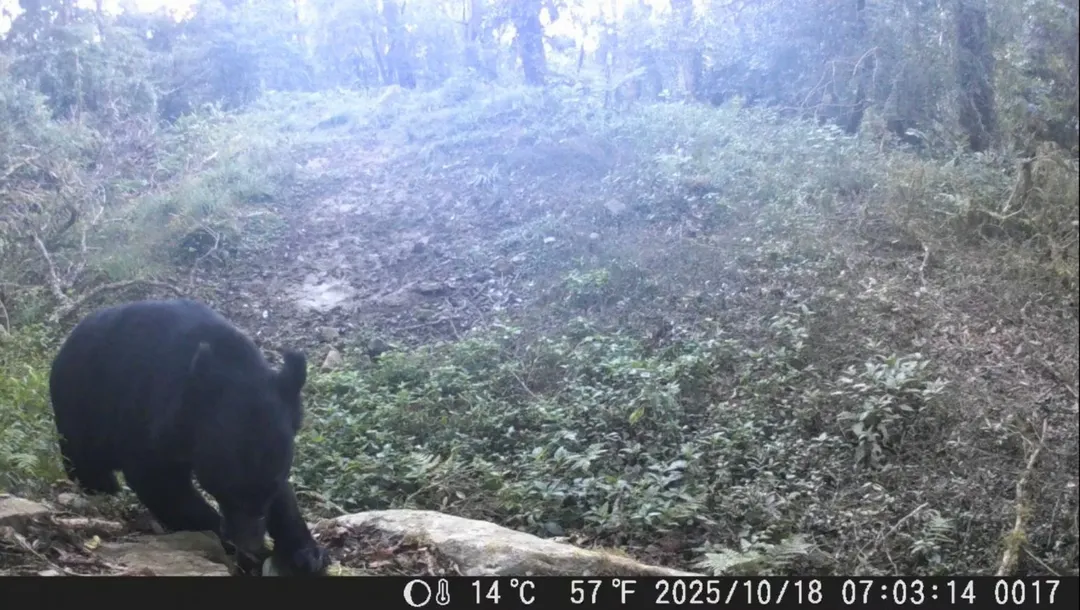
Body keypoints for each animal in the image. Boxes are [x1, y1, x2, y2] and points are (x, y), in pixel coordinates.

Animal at [48, 298, 329, 576]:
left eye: (271, 486)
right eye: (228, 489)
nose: (249, 544)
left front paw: (307, 553)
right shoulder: (150, 413)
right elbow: (158, 481)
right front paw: (236, 546)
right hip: (81, 406)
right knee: (84, 458)